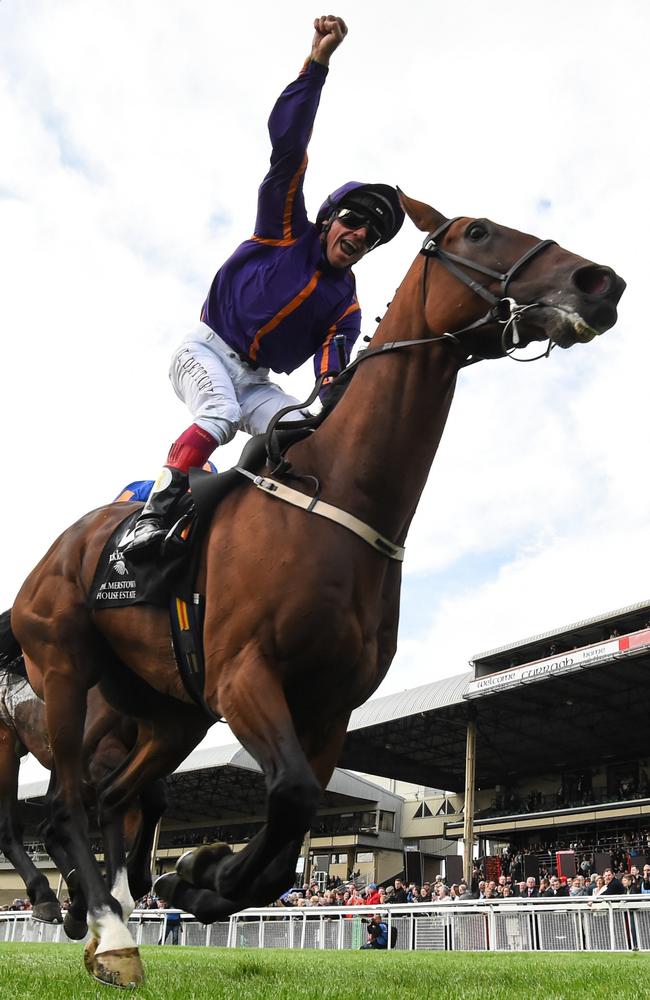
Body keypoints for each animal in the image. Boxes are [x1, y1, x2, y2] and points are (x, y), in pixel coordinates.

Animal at [7, 195, 620, 984]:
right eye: (477, 231)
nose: (599, 281)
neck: (342, 499)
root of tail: (60, 550)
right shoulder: (244, 675)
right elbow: (292, 795)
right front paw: (201, 872)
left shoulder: (330, 708)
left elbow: (286, 835)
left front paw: (199, 875)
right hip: (62, 670)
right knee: (66, 806)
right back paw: (105, 930)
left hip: (169, 713)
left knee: (115, 800)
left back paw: (114, 914)